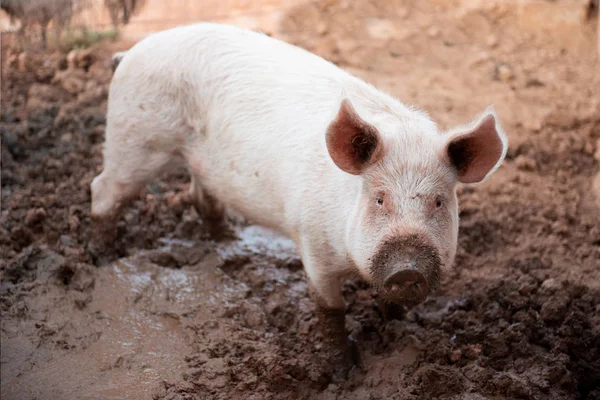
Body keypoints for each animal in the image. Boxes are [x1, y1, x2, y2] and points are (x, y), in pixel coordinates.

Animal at [91, 22, 508, 378]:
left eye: (438, 202)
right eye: (379, 199)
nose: (408, 268)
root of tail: (130, 52)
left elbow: (388, 302)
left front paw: (396, 331)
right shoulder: (313, 244)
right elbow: (330, 310)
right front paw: (342, 373)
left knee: (200, 195)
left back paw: (228, 241)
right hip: (135, 137)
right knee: (102, 189)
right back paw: (102, 258)